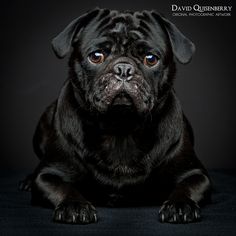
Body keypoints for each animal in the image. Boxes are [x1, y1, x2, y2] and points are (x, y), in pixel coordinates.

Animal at [20, 7, 211, 225]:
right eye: (96, 56)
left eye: (151, 59)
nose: (124, 69)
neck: (120, 129)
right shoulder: (48, 175)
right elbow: (62, 187)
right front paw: (74, 205)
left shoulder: (196, 174)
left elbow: (187, 185)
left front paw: (180, 204)